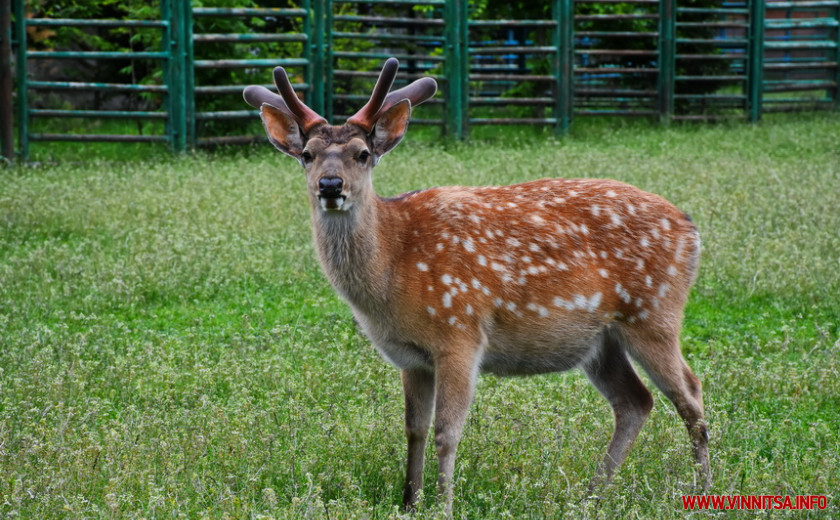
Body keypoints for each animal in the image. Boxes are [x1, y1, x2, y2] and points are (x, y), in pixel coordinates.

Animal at [241, 58, 708, 516]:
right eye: (307, 155)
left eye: (363, 154)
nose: (330, 185)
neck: (393, 269)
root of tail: (691, 229)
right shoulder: (411, 358)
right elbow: (414, 429)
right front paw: (408, 502)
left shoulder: (460, 333)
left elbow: (447, 431)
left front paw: (444, 506)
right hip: (600, 341)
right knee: (635, 401)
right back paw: (589, 497)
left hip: (654, 312)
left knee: (691, 394)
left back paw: (702, 489)